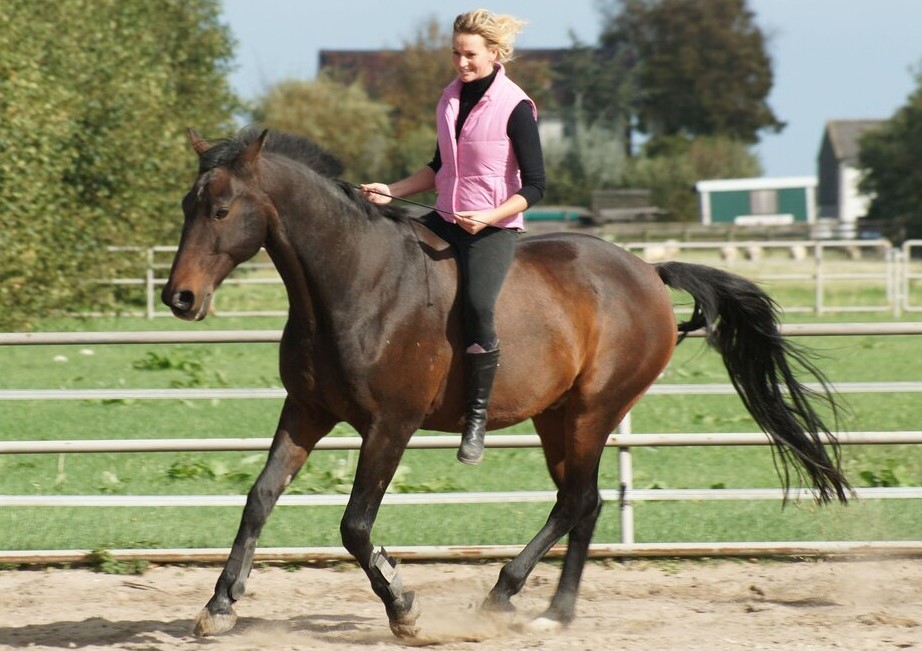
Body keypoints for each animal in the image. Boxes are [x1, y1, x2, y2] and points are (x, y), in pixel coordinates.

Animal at [162, 127, 850, 639]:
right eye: (187, 207)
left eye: (221, 209)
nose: (179, 298)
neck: (355, 282)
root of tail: (649, 273)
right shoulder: (306, 410)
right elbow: (259, 498)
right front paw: (220, 606)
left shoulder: (391, 426)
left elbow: (355, 526)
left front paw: (404, 609)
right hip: (555, 417)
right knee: (585, 503)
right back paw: (555, 611)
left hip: (593, 412)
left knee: (575, 502)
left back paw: (508, 595)